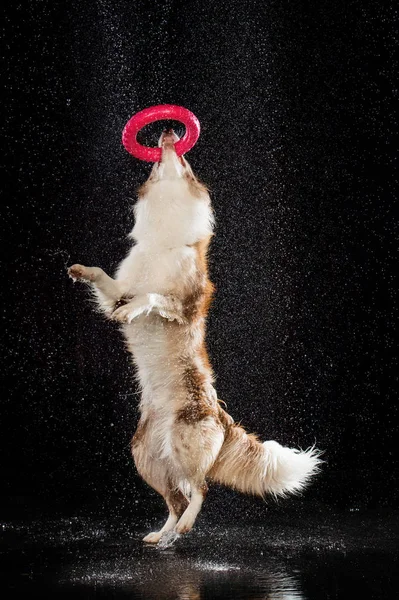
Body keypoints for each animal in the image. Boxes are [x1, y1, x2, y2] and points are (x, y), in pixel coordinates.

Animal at [67, 129, 320, 548]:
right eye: (158, 160)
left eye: (184, 161)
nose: (167, 132)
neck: (163, 238)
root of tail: (220, 413)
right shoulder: (118, 288)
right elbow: (108, 281)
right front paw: (81, 271)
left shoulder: (184, 304)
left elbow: (154, 297)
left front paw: (133, 310)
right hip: (147, 458)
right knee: (176, 497)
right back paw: (163, 535)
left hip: (186, 443)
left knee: (199, 488)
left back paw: (185, 526)